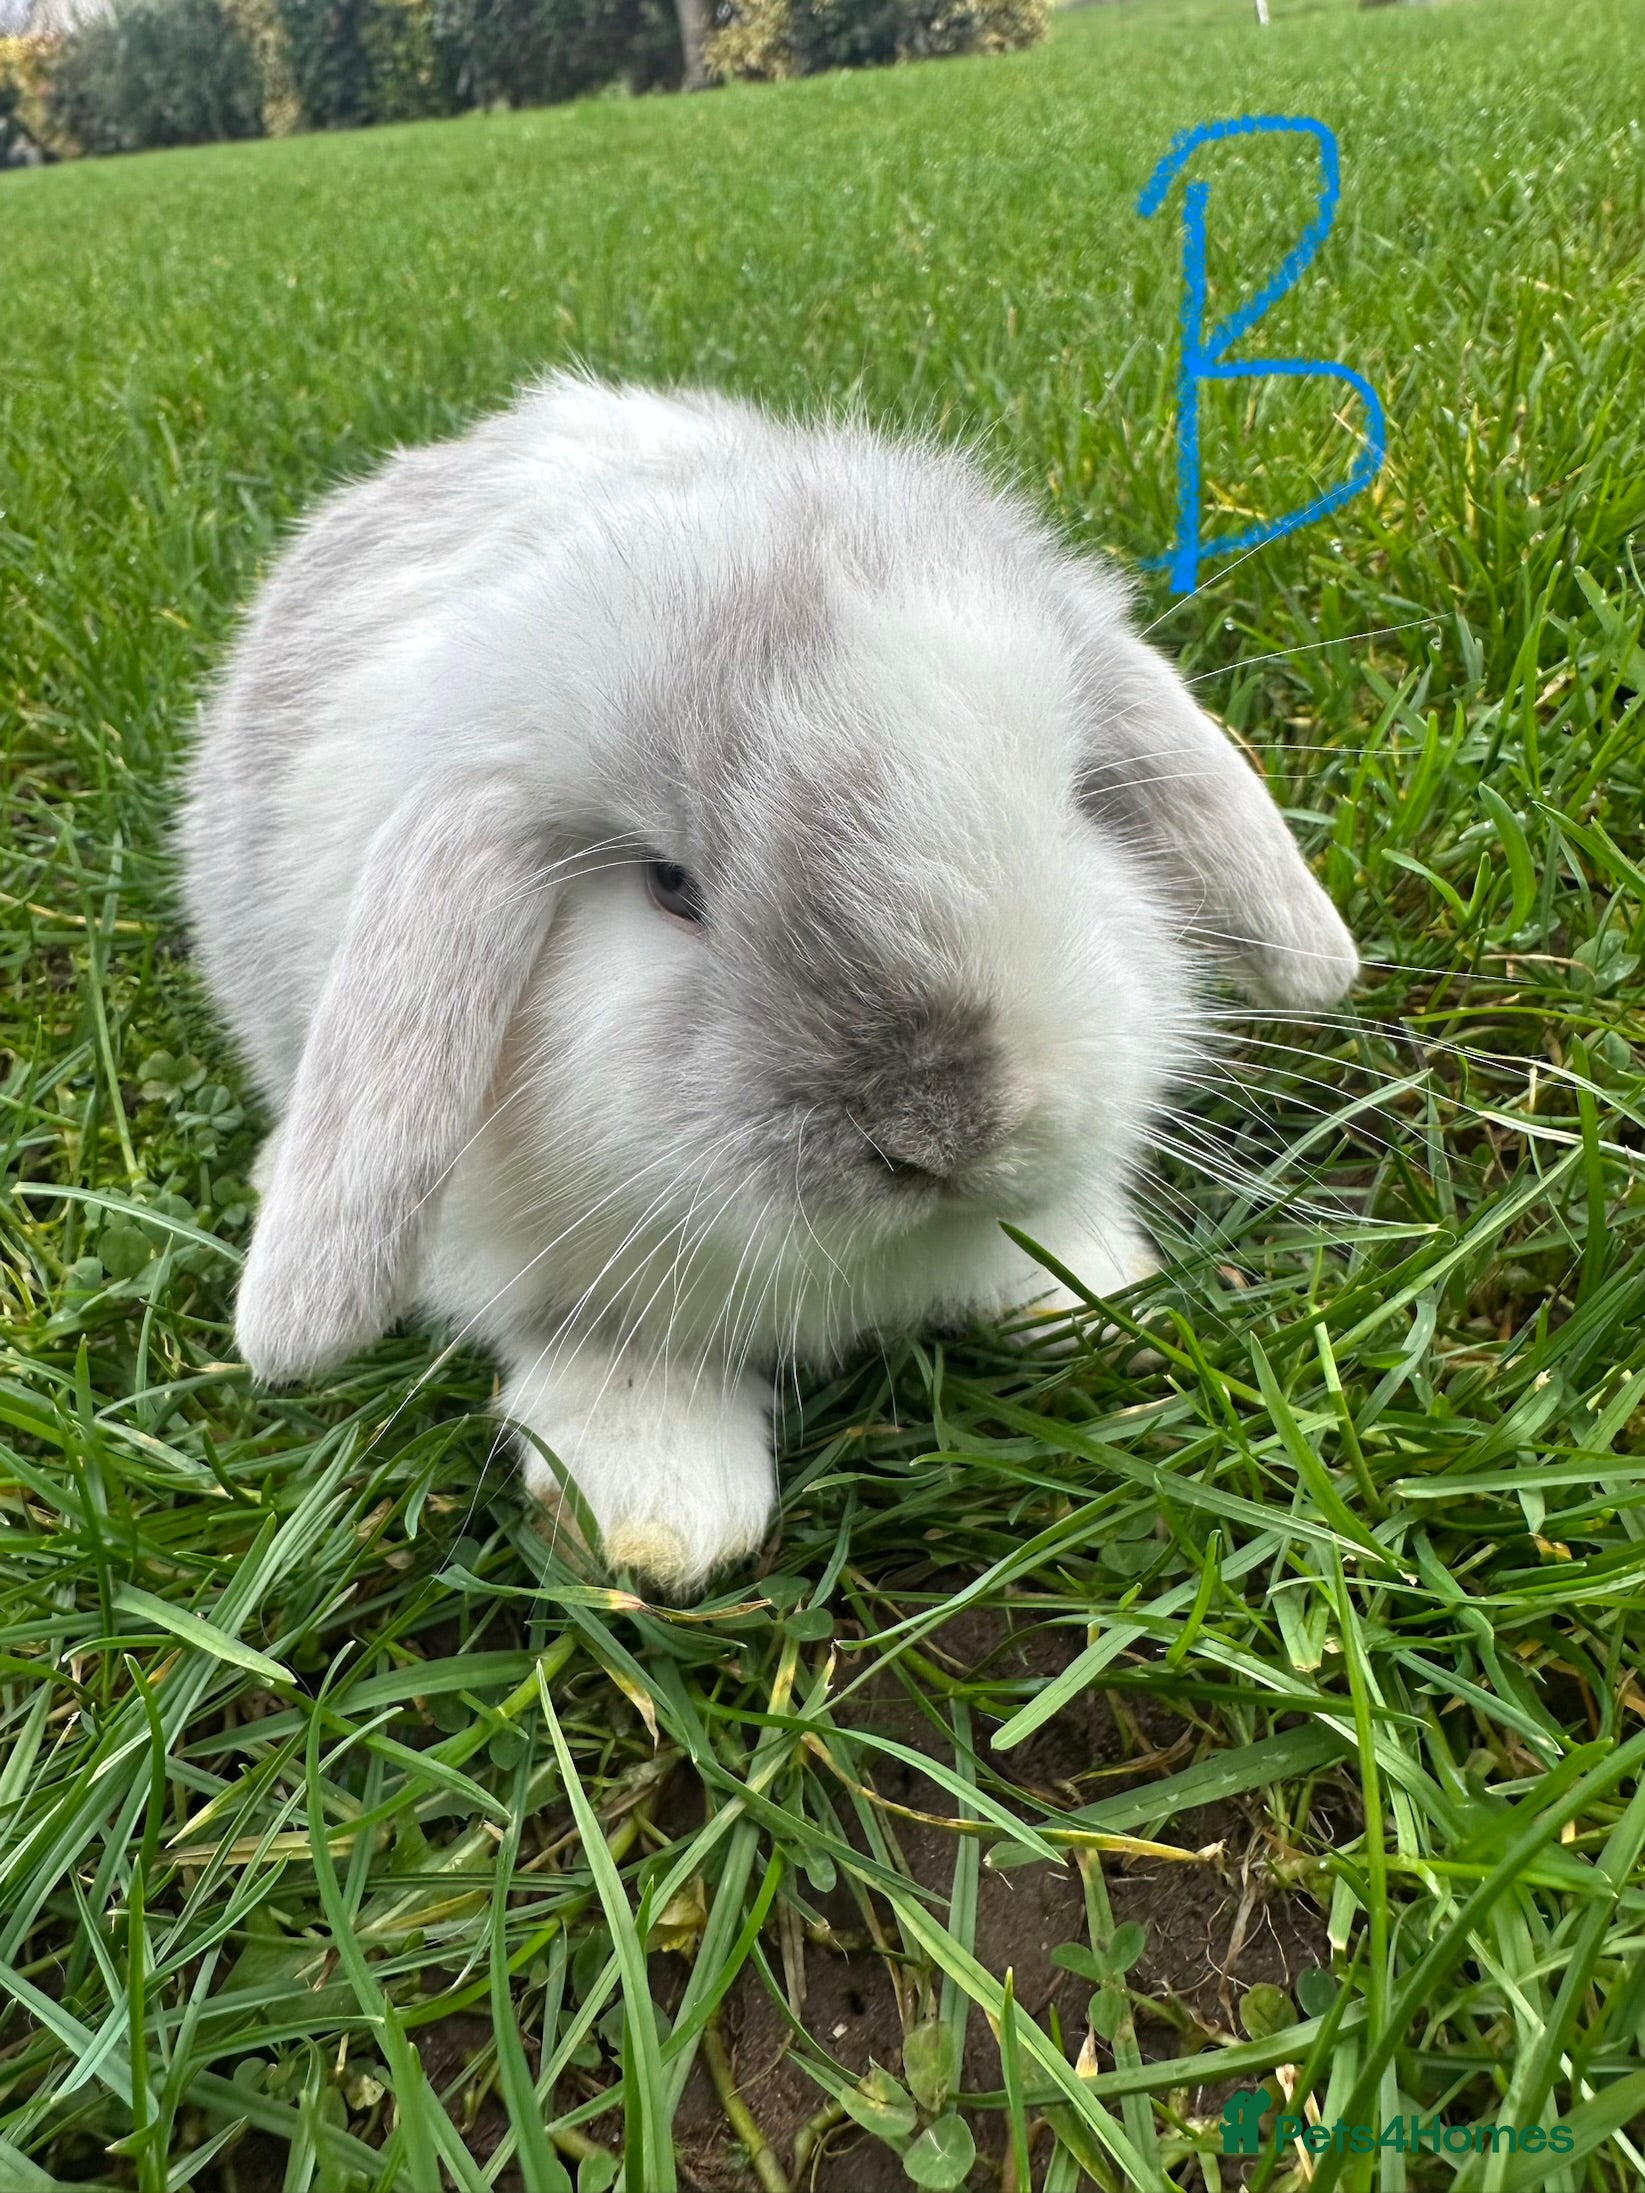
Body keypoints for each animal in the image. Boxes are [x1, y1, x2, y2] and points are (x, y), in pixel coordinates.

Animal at [180, 372, 1358, 1591]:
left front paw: (1088, 1289)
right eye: (669, 887)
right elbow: (606, 1353)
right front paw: (659, 1517)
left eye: (1073, 803)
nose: (941, 1132)